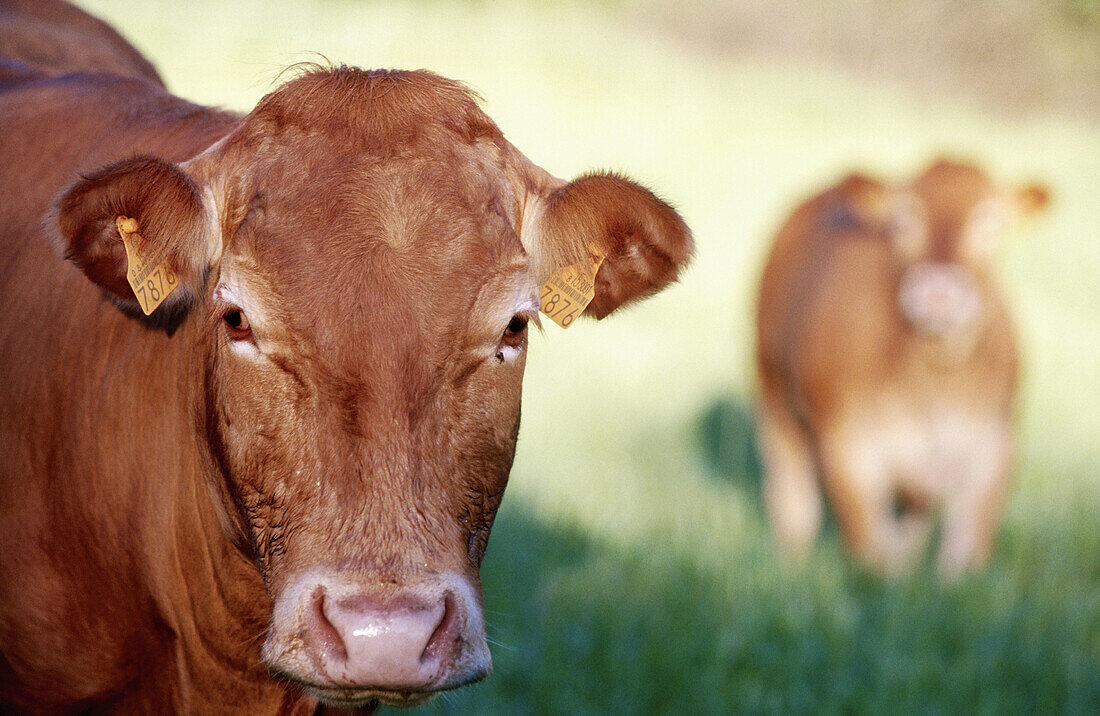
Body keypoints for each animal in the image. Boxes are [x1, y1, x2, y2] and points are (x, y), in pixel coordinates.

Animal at [756, 160, 1047, 576]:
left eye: (990, 220)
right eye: (904, 219)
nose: (939, 291)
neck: (934, 375)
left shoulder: (993, 449)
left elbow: (963, 560)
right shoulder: (849, 450)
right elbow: (874, 558)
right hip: (775, 397)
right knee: (793, 494)